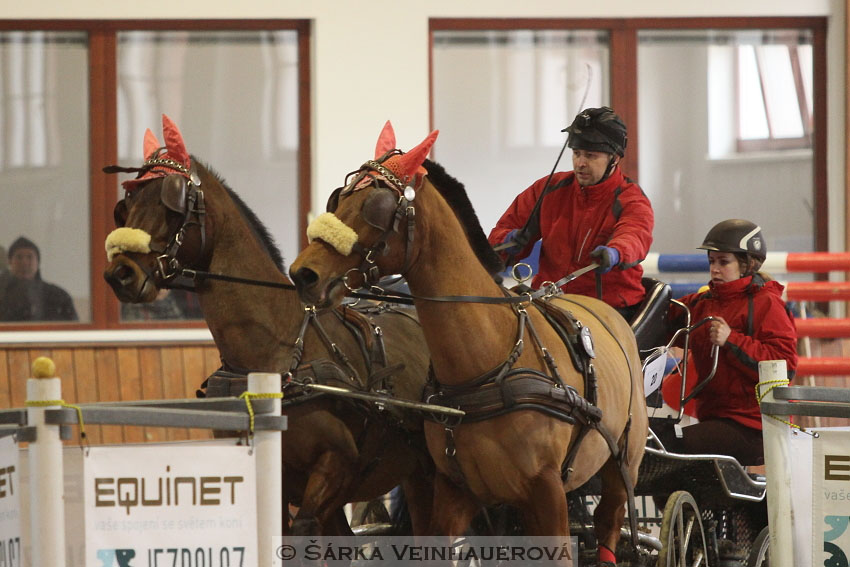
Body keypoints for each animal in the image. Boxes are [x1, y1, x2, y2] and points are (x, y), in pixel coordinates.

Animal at [288, 124, 644, 564]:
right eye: (340, 197)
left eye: (376, 207)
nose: (303, 274)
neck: (488, 364)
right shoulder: (454, 491)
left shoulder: (548, 493)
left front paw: (608, 253)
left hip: (622, 466)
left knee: (609, 523)